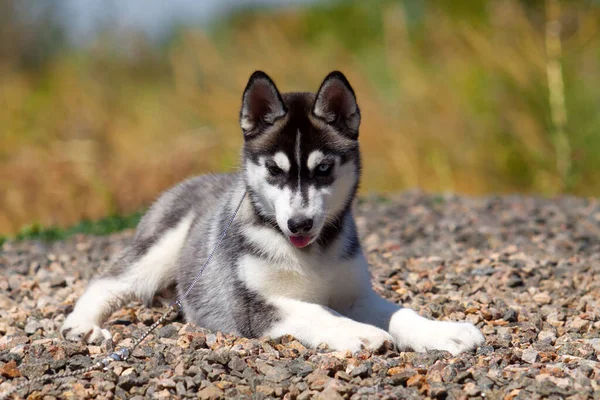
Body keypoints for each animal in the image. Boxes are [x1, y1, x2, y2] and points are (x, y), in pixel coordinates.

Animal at [62, 71, 482, 354]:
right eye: (275, 170)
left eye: (323, 168)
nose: (299, 224)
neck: (311, 255)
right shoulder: (255, 306)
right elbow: (318, 312)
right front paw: (358, 332)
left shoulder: (356, 294)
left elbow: (401, 313)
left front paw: (444, 332)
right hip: (159, 248)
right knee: (108, 282)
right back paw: (81, 326)